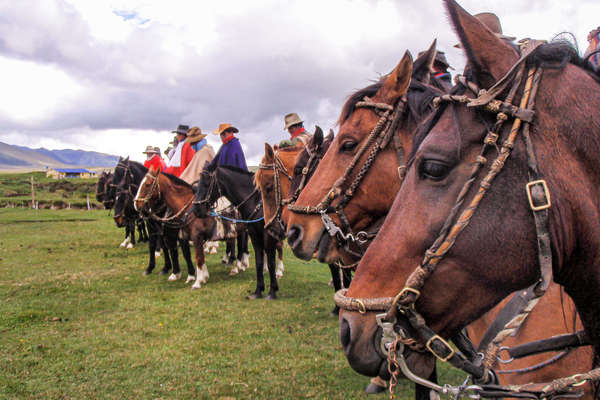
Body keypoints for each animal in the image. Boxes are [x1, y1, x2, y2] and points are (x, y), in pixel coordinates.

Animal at [193, 164, 280, 298]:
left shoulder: (268, 235)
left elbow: (271, 262)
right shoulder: (254, 234)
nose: (196, 209)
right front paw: (258, 291)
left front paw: (272, 291)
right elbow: (259, 262)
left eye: (207, 182)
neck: (257, 203)